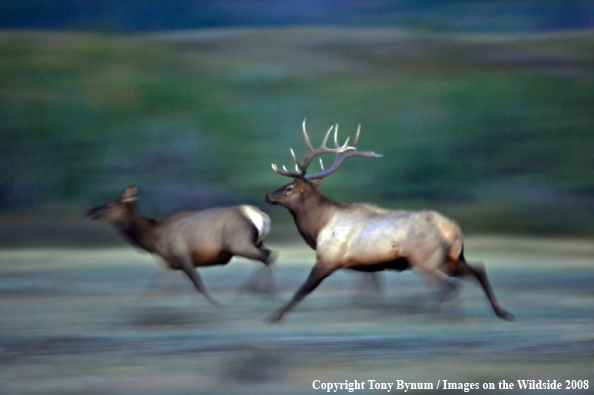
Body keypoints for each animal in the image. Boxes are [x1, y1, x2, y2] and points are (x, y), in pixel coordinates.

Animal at [86, 186, 272, 306]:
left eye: (110, 204)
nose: (91, 211)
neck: (153, 239)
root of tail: (261, 215)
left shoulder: (181, 254)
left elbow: (198, 285)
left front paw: (216, 304)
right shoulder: (172, 263)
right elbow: (157, 286)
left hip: (238, 243)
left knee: (267, 256)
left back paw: (263, 293)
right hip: (254, 242)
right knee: (268, 255)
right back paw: (253, 292)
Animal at [264, 120, 512, 322]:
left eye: (289, 188)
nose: (268, 195)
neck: (317, 228)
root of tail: (453, 230)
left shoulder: (328, 258)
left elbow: (302, 290)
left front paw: (274, 316)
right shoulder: (364, 265)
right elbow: (372, 288)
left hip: (425, 259)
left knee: (449, 286)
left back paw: (440, 315)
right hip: (451, 258)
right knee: (478, 270)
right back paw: (501, 312)